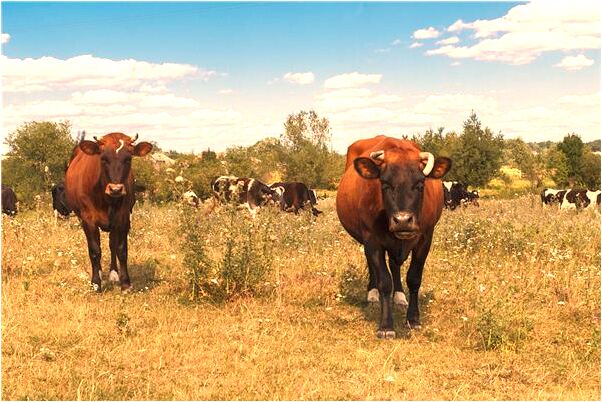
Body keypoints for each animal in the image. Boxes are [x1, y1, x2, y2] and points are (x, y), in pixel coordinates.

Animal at [63, 133, 151, 292]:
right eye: (103, 158)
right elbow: (94, 250)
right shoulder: (88, 220)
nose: (115, 189)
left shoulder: (123, 218)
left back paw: (113, 273)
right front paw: (96, 283)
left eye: (128, 159)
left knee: (112, 245)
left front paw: (125, 283)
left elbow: (121, 249)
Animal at [336, 136, 448, 340]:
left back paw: (400, 297)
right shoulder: (372, 241)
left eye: (420, 185)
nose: (402, 220)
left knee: (395, 265)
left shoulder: (425, 238)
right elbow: (384, 282)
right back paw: (372, 294)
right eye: (385, 185)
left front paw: (413, 319)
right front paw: (386, 325)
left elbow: (414, 278)